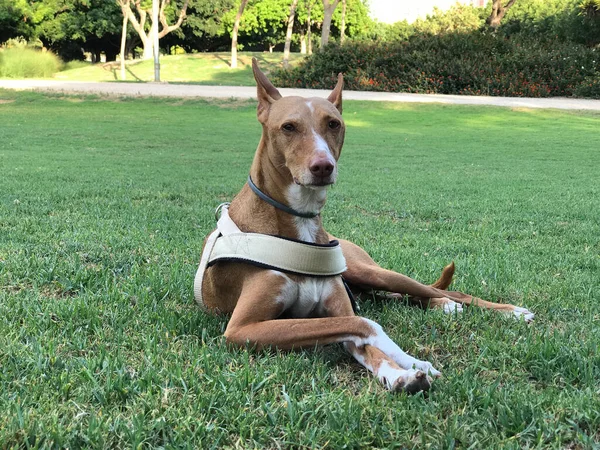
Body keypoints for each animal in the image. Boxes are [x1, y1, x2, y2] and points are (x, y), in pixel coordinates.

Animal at [193, 60, 536, 394]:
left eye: (333, 123)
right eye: (288, 127)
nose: (323, 166)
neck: (300, 225)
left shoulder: (336, 311)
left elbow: (364, 334)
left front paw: (407, 367)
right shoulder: (242, 329)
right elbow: (367, 325)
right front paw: (408, 367)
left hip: (369, 272)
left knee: (446, 291)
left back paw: (505, 311)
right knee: (397, 299)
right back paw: (444, 307)